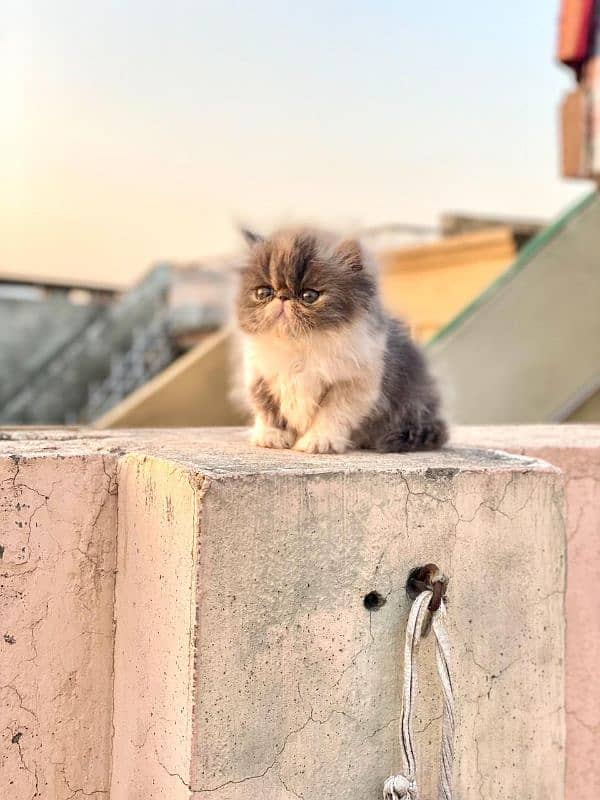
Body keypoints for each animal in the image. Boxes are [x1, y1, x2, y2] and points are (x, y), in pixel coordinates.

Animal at [233, 225, 446, 454]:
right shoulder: (259, 377)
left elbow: (331, 415)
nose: (282, 297)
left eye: (309, 296)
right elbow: (268, 410)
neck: (299, 346)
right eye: (264, 292)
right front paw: (271, 437)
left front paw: (319, 442)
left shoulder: (355, 383)